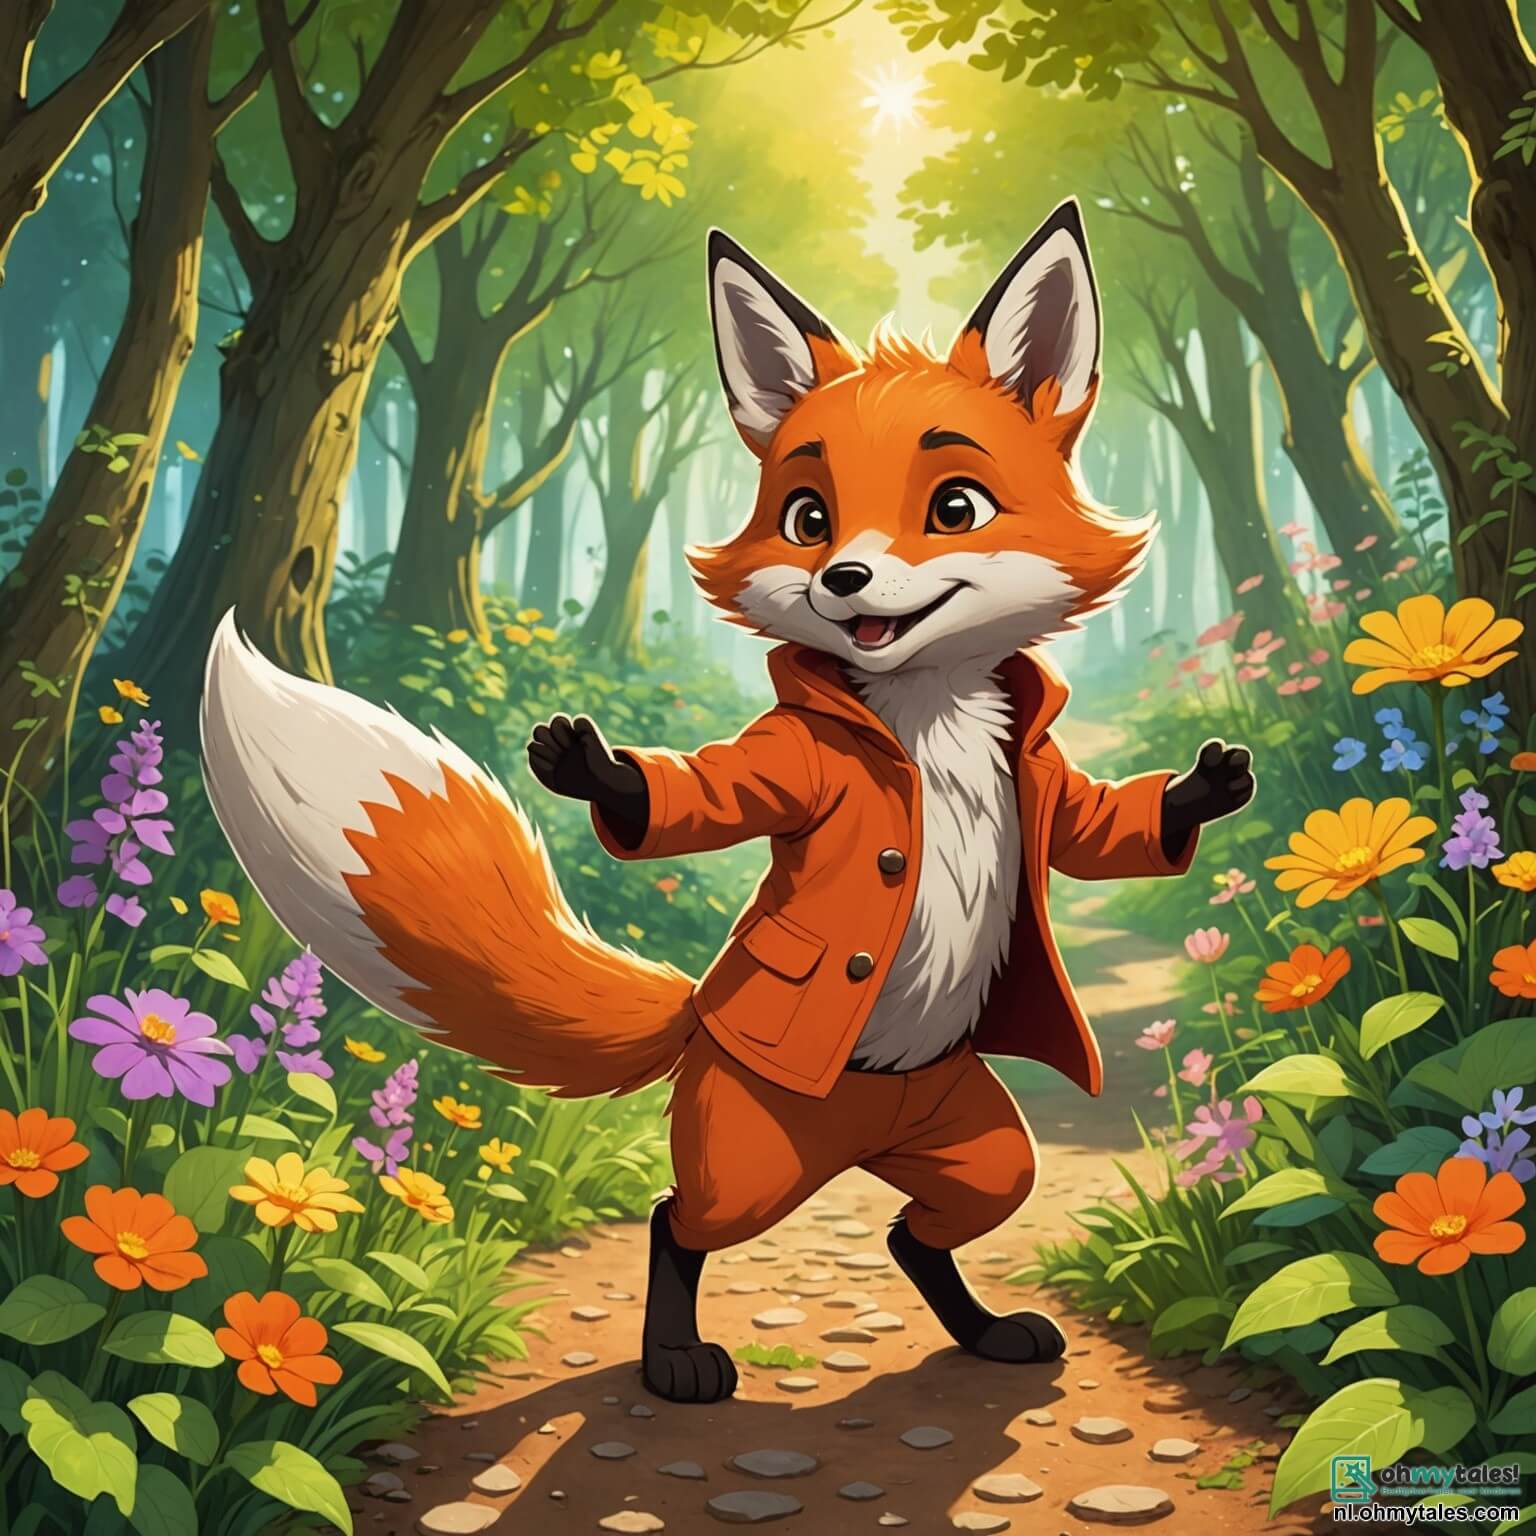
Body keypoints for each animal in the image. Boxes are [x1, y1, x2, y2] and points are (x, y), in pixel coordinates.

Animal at [201, 199, 1255, 1405]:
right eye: (806, 517)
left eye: (956, 506)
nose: (843, 580)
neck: (928, 719)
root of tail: (704, 1011)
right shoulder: (789, 764)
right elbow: (700, 798)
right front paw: (598, 771)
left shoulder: (1041, 771)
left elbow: (1091, 825)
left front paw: (1203, 791)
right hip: (752, 1152)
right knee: (680, 1219)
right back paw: (674, 1360)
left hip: (968, 1128)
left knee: (930, 1222)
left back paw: (976, 1323)